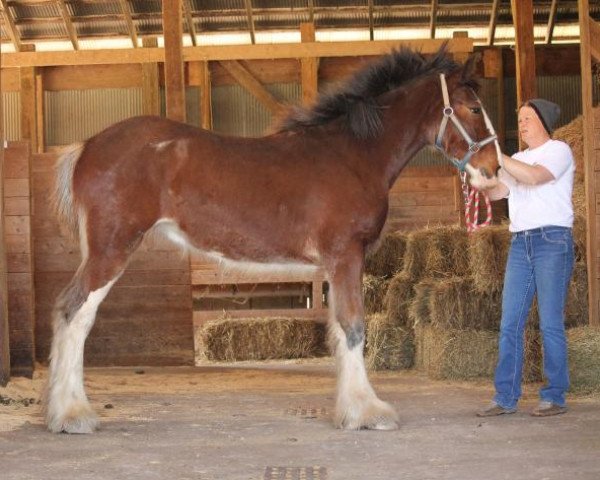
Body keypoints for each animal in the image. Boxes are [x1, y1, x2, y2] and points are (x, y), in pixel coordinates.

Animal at [47, 46, 502, 436]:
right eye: (475, 108)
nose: (494, 169)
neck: (351, 155)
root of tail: (87, 147)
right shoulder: (345, 257)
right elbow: (353, 327)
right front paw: (368, 412)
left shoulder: (333, 268)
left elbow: (339, 331)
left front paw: (350, 408)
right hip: (112, 249)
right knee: (75, 313)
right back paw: (72, 415)